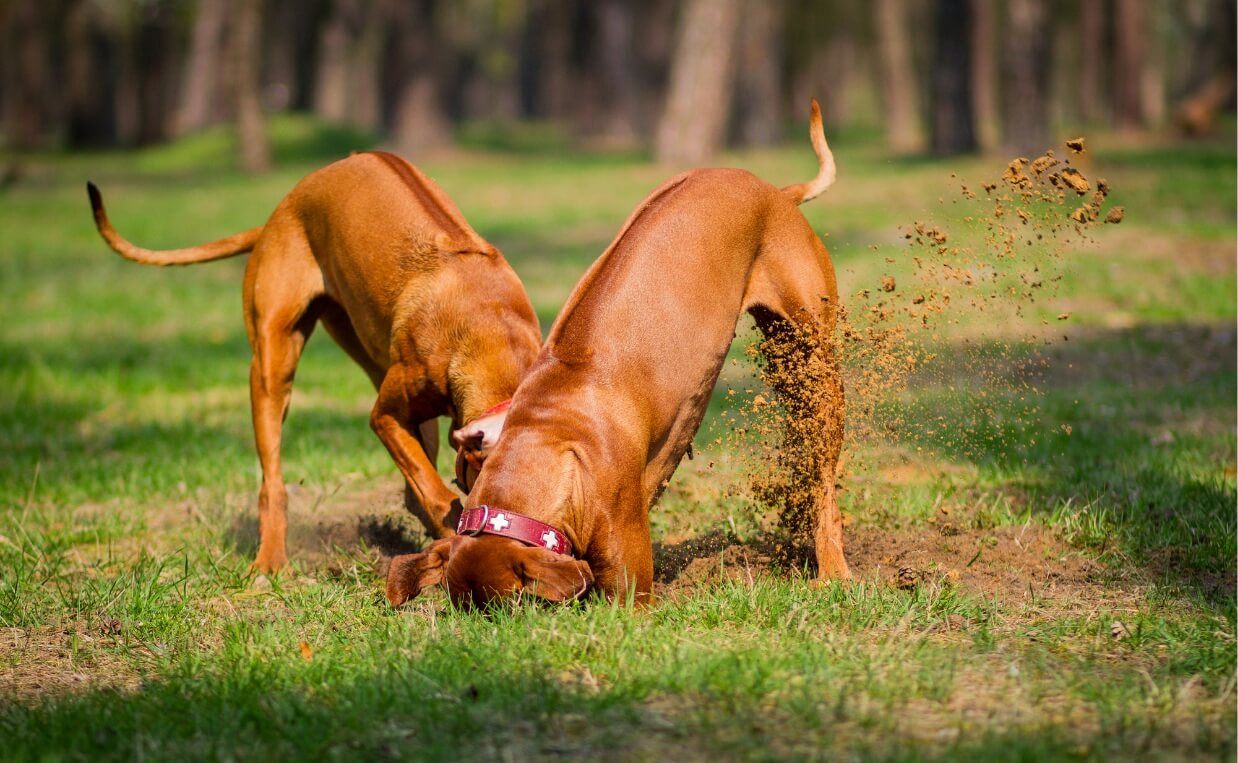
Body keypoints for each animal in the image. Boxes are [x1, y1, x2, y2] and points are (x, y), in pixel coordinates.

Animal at [89, 153, 544, 572]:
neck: (493, 334)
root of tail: (277, 214)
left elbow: (423, 478)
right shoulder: (386, 415)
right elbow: (436, 492)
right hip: (273, 365)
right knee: (272, 483)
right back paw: (270, 562)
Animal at [388, 104, 851, 611]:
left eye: (507, 611)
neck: (550, 435)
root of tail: (776, 193)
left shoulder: (626, 572)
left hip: (814, 368)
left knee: (825, 482)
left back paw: (833, 569)